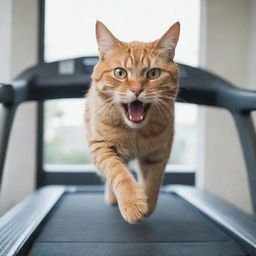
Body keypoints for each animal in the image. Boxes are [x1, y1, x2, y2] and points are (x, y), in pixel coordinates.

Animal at [85, 21, 179, 223]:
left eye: (153, 73)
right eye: (120, 73)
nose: (136, 90)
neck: (135, 132)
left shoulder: (159, 153)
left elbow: (153, 181)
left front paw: (148, 204)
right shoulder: (102, 148)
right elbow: (118, 173)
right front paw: (132, 201)